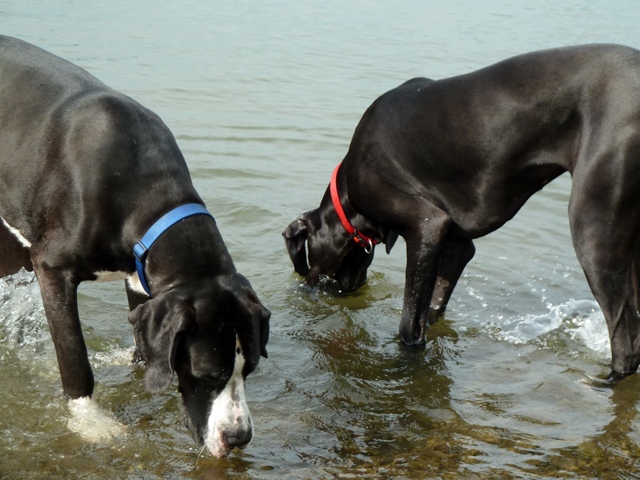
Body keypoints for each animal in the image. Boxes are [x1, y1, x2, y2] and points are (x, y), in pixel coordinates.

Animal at [0, 35, 270, 458]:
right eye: (208, 375)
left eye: (251, 369)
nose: (239, 437)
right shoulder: (51, 268)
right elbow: (75, 360)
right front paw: (92, 423)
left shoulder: (140, 281)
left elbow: (143, 346)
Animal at [284, 44, 640, 382]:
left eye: (308, 253)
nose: (306, 288)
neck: (347, 190)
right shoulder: (455, 245)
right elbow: (431, 306)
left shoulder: (427, 226)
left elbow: (409, 324)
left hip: (593, 229)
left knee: (625, 342)